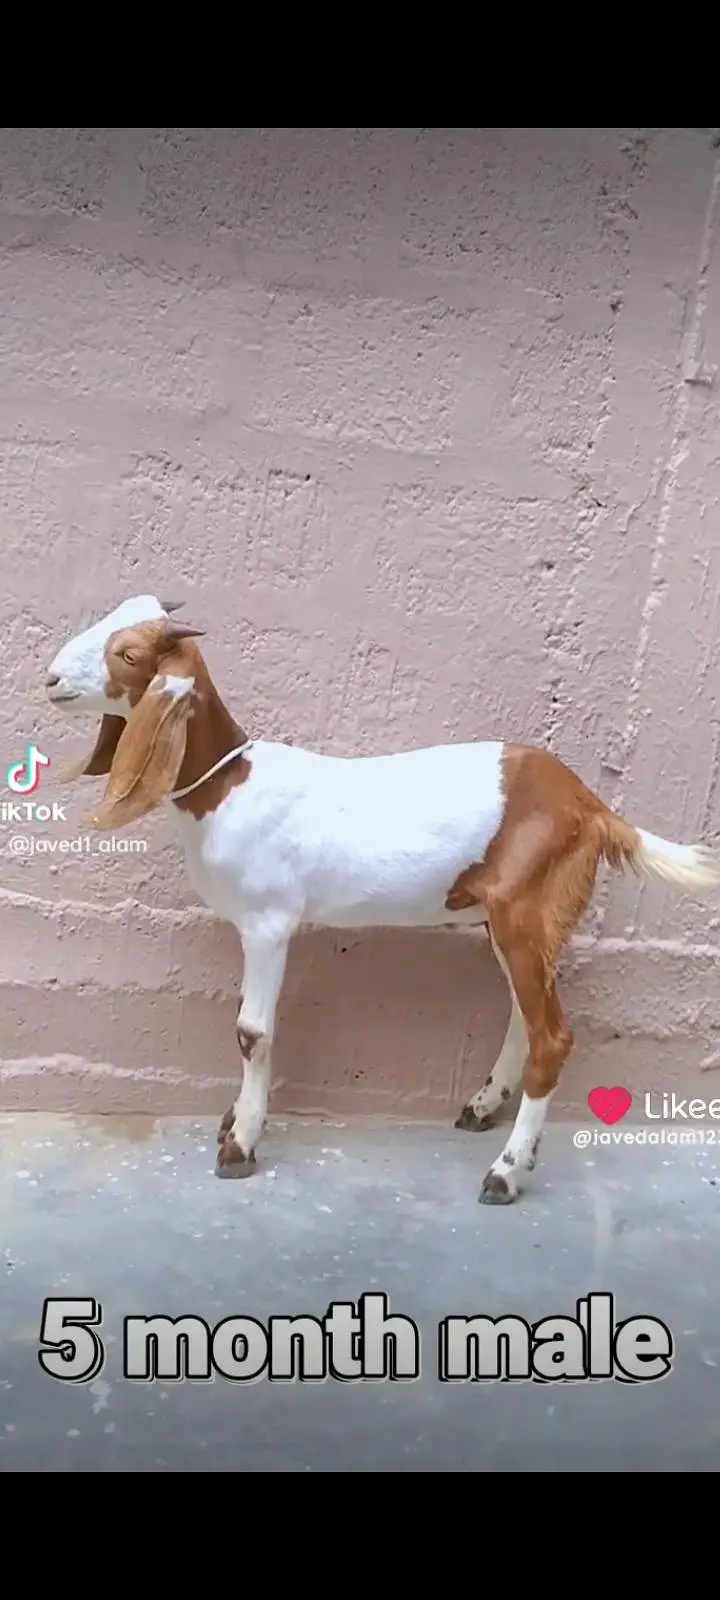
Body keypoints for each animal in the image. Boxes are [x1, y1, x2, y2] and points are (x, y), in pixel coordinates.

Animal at [45, 595, 720, 1205]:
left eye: (128, 654)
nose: (50, 679)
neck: (231, 784)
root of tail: (592, 807)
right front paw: (233, 1121)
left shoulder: (268, 922)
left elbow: (252, 1031)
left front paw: (241, 1143)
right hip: (511, 921)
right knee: (525, 1020)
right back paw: (483, 1107)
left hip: (526, 912)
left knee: (551, 1037)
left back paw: (505, 1173)